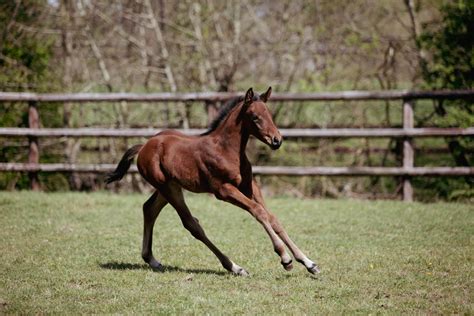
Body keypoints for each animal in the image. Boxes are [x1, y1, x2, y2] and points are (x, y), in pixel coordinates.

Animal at [107, 87, 320, 276]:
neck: (227, 150)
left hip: (169, 186)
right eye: (254, 117)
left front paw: (308, 262)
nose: (277, 141)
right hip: (168, 188)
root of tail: (144, 146)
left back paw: (151, 260)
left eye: (269, 114)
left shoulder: (250, 186)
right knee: (191, 225)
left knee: (149, 209)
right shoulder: (223, 190)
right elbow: (258, 212)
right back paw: (235, 267)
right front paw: (285, 258)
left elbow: (272, 217)